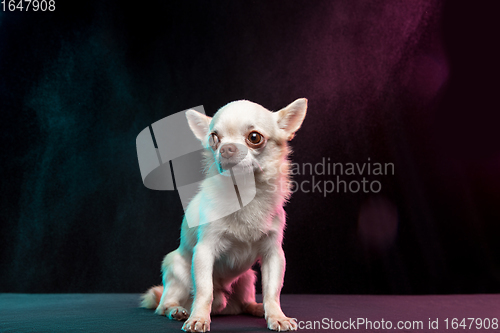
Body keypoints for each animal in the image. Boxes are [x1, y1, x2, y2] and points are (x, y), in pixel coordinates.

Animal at [139, 97, 306, 330]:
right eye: (214, 138)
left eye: (254, 137)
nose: (226, 148)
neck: (244, 194)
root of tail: (227, 306)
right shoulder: (204, 252)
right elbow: (204, 291)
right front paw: (198, 318)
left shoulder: (274, 254)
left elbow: (272, 291)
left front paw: (276, 316)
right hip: (176, 271)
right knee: (165, 304)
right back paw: (178, 310)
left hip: (248, 278)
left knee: (245, 303)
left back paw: (256, 308)